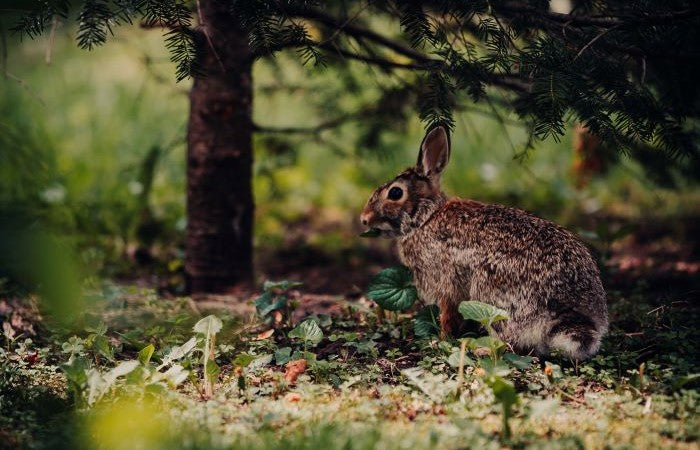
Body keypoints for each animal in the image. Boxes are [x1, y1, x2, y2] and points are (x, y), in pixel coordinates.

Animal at [360, 125, 608, 360]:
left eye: (395, 193)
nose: (364, 218)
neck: (425, 217)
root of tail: (568, 312)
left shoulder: (446, 285)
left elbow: (447, 315)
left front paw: (439, 340)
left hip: (492, 294)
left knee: (509, 341)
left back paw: (481, 350)